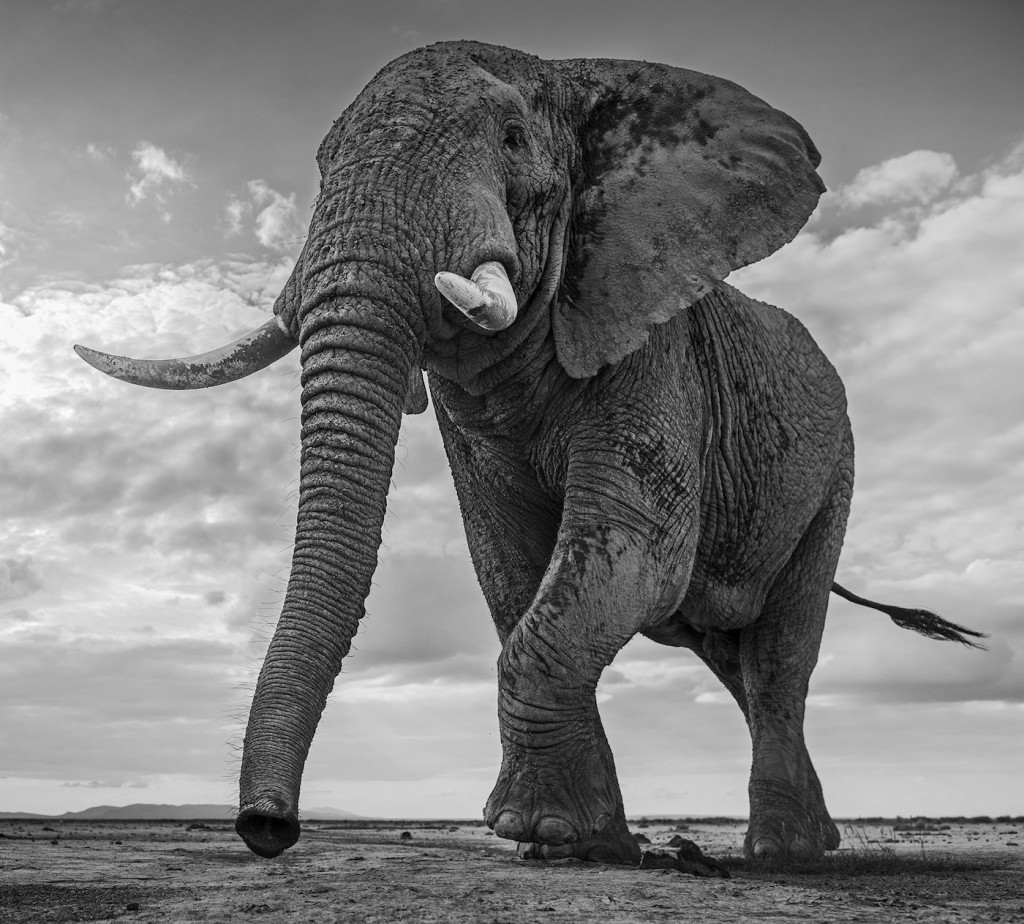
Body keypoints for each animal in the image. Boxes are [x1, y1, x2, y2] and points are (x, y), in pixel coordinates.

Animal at [75, 41, 983, 863]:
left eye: (512, 138)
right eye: (324, 163)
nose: (266, 829)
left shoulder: (651, 346)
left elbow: (631, 552)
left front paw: (544, 832)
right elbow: (510, 566)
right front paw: (578, 841)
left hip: (834, 472)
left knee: (778, 656)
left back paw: (788, 853)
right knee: (735, 661)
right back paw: (808, 839)